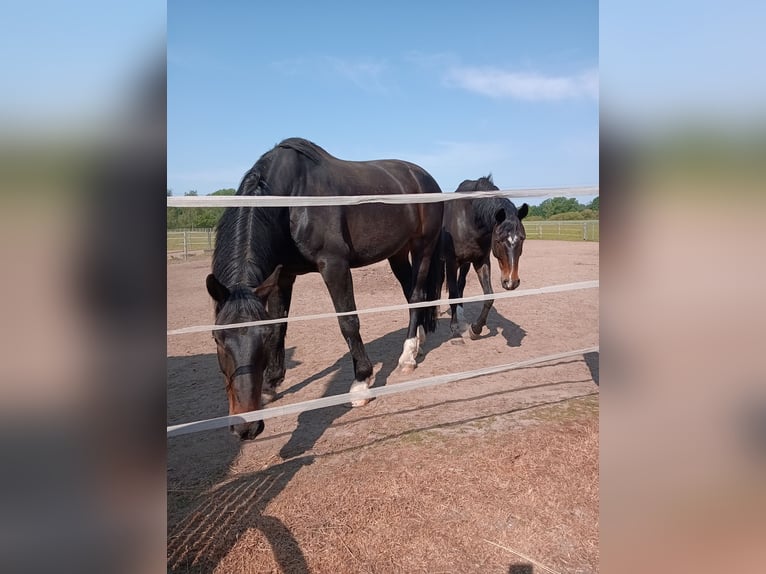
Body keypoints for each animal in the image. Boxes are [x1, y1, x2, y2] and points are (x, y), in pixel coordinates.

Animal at [206, 138, 444, 440]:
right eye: (217, 339)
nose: (246, 427)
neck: (291, 200)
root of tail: (424, 176)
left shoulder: (334, 266)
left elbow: (348, 322)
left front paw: (361, 384)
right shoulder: (283, 276)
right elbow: (281, 324)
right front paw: (272, 383)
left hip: (423, 247)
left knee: (416, 295)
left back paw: (407, 357)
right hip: (398, 253)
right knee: (411, 293)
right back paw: (418, 345)